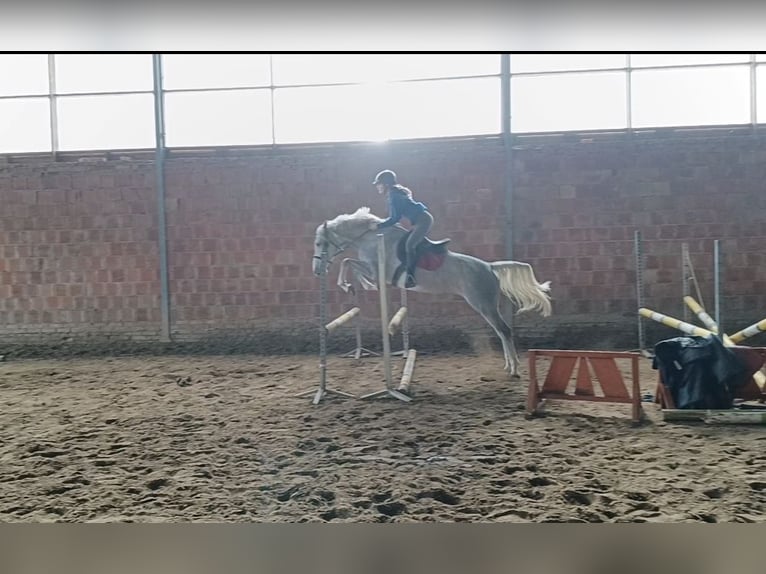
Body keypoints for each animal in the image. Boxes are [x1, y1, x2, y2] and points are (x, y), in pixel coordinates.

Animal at [311, 207, 552, 379]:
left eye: (320, 243)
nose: (316, 271)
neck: (370, 237)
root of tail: (490, 267)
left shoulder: (377, 270)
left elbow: (347, 261)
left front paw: (353, 285)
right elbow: (348, 262)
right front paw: (355, 285)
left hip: (483, 304)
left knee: (504, 330)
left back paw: (515, 369)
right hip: (486, 306)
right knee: (502, 332)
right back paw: (508, 366)